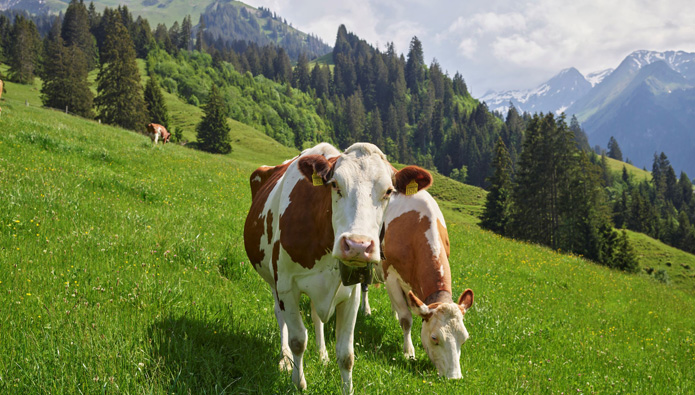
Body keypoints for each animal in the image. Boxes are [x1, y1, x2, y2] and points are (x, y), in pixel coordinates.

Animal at [242, 142, 432, 392]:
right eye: (335, 185)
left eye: (389, 191)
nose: (358, 245)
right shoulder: (287, 286)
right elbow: (298, 340)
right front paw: (298, 383)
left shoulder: (351, 295)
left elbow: (346, 355)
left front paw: (345, 386)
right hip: (273, 282)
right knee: (280, 318)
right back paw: (285, 359)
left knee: (316, 316)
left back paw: (322, 354)